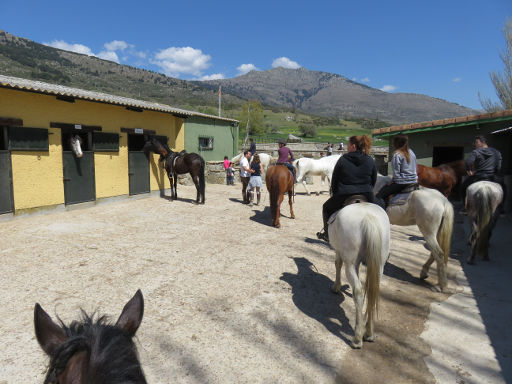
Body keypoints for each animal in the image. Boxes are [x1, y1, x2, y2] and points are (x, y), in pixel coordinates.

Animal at [330, 202, 390, 350]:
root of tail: (368, 217)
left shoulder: (339, 251)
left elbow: (337, 264)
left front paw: (336, 287)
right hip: (379, 265)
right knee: (371, 291)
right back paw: (369, 333)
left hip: (350, 264)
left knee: (358, 292)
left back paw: (357, 339)